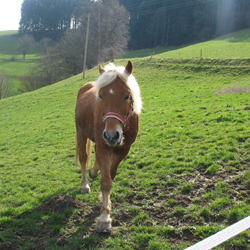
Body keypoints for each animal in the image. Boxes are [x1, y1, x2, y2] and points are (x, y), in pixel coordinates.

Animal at [75, 60, 142, 232]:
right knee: (84, 158)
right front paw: (104, 219)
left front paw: (104, 202)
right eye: (101, 95)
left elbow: (110, 176)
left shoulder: (123, 149)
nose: (112, 135)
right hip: (81, 133)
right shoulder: (103, 147)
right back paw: (85, 184)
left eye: (127, 95)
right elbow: (106, 182)